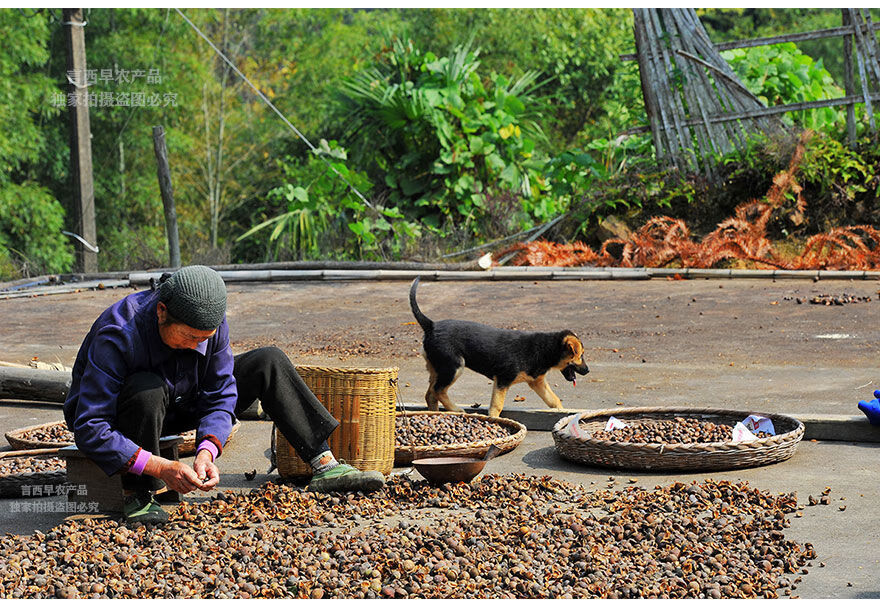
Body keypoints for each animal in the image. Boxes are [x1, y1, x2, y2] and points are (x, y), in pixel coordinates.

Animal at [408, 278, 588, 416]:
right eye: (580, 355)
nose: (587, 371)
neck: (545, 350)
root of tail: (431, 325)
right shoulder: (503, 380)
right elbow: (496, 406)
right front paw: (494, 421)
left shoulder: (538, 382)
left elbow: (554, 400)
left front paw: (562, 412)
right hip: (454, 367)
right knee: (439, 391)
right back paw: (456, 409)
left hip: (437, 368)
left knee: (431, 394)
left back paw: (435, 413)